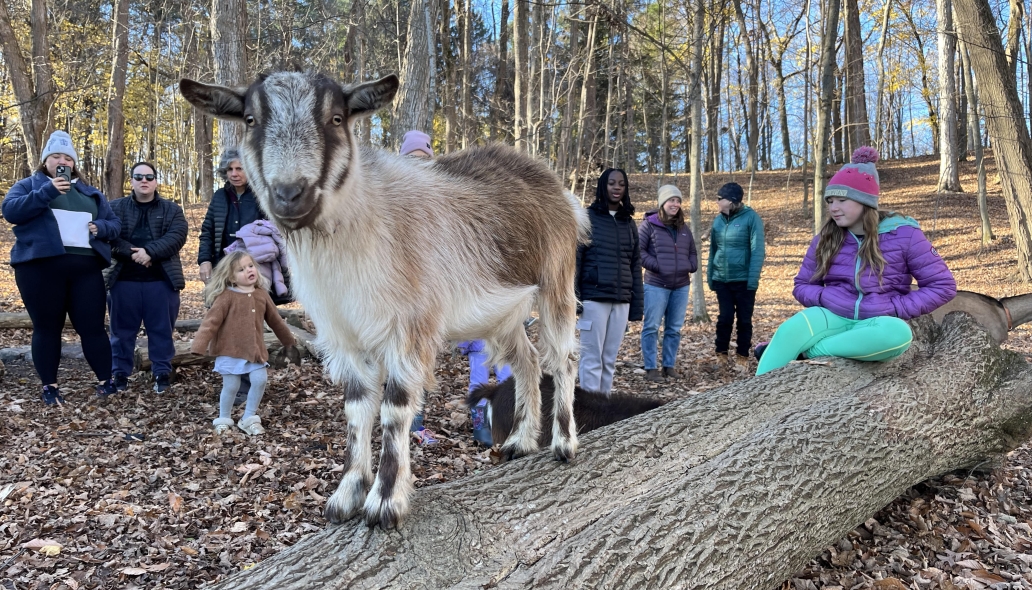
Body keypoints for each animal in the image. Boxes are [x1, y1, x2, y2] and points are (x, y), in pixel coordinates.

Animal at [180, 72, 589, 528]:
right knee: (527, 361)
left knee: (563, 357)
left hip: (556, 283)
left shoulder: (407, 328)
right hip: (500, 314)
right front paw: (346, 495)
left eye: (336, 118)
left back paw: (564, 444)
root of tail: (559, 189)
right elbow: (357, 408)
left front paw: (385, 502)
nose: (290, 194)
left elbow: (394, 409)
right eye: (250, 119)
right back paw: (520, 440)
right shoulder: (343, 333)